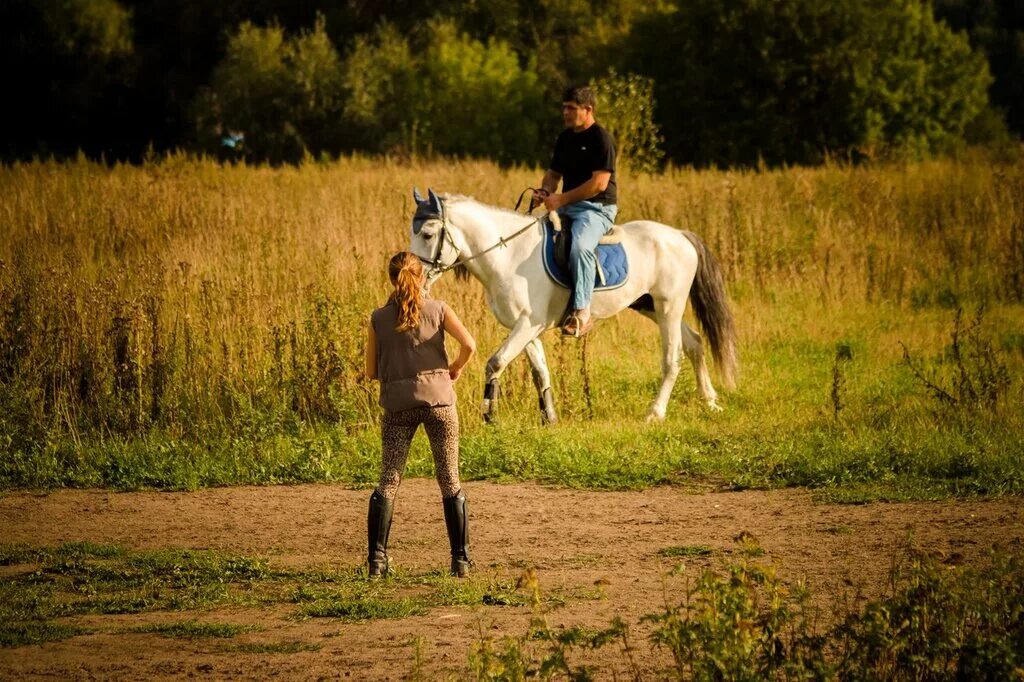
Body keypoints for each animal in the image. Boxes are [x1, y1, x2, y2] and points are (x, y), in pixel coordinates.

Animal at [407, 186, 737, 419]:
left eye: (428, 234)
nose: (415, 279)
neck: (509, 253)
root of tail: (680, 235)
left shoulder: (528, 324)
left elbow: (496, 362)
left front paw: (490, 413)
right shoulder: (526, 328)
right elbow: (540, 372)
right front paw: (550, 419)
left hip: (669, 307)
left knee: (672, 359)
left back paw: (655, 414)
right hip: (653, 307)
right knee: (695, 343)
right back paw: (710, 401)